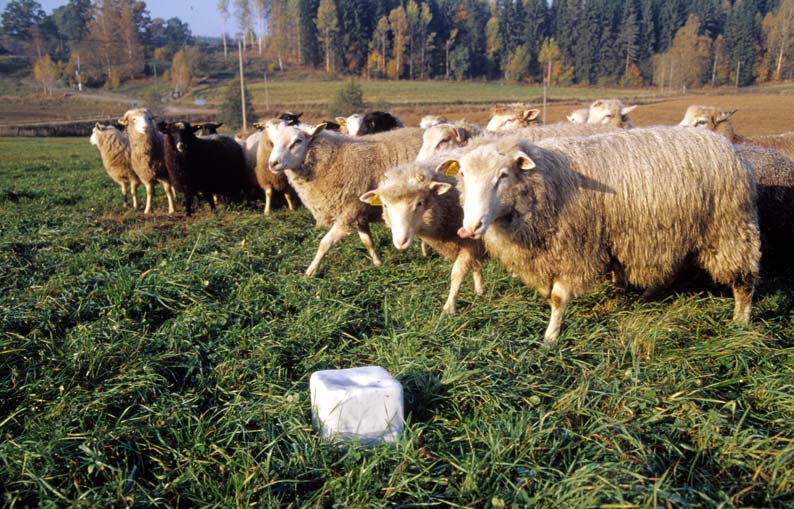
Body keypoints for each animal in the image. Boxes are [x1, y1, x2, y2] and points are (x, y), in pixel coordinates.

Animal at [266, 121, 424, 276]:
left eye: (297, 141)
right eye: (273, 142)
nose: (272, 163)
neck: (333, 159)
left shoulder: (349, 212)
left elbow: (325, 243)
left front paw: (310, 271)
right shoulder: (358, 213)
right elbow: (367, 241)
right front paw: (377, 262)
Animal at [362, 160, 486, 314]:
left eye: (420, 203)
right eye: (385, 205)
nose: (401, 242)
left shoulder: (471, 241)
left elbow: (457, 273)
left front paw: (449, 307)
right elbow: (475, 266)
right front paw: (480, 290)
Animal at [448, 125, 756, 344]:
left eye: (503, 175)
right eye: (462, 174)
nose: (470, 227)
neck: (548, 181)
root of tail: (728, 145)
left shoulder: (575, 248)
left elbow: (558, 297)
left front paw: (550, 337)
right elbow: (548, 293)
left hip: (729, 228)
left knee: (744, 279)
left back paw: (741, 320)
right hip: (676, 232)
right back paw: (648, 295)